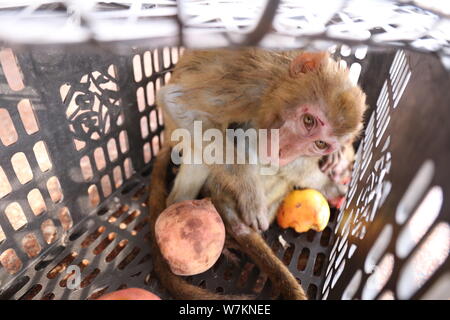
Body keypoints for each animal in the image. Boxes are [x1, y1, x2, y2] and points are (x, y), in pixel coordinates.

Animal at [148, 48, 366, 300]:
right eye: (308, 120)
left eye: (320, 144)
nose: (283, 151)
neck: (277, 83)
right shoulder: (251, 87)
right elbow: (178, 103)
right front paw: (249, 193)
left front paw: (334, 182)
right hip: (180, 137)